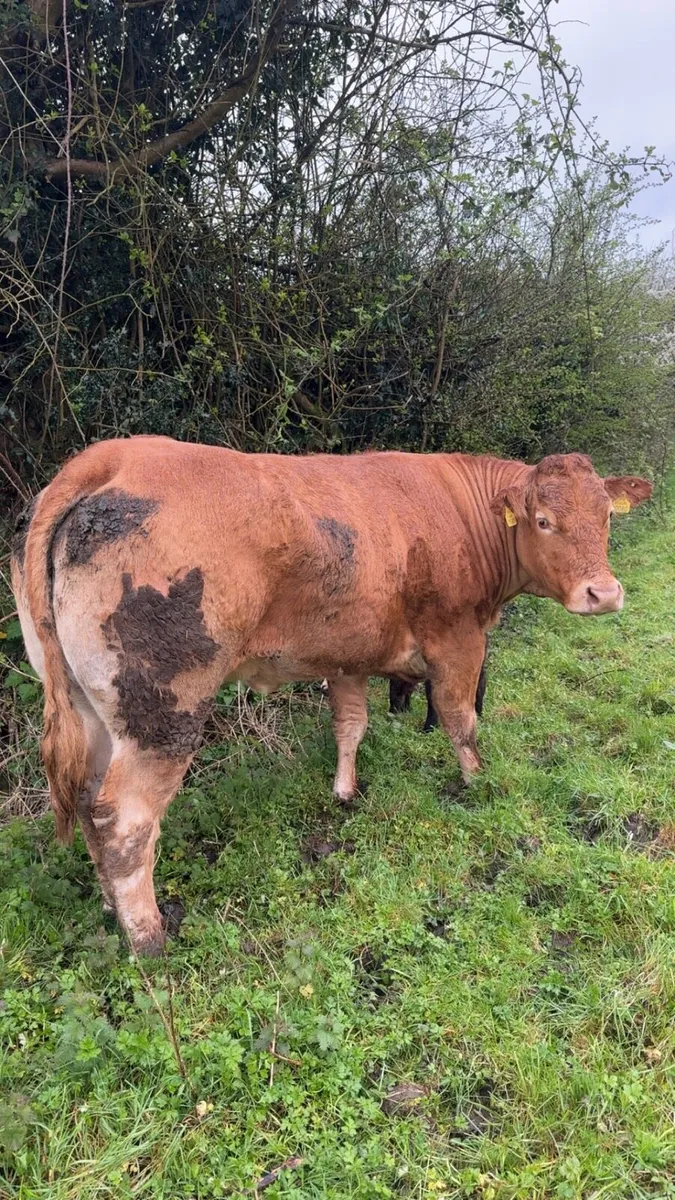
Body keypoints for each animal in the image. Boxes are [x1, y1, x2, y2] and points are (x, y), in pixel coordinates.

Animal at [11, 436, 651, 955]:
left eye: (605, 516)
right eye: (543, 520)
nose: (604, 593)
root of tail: (111, 458)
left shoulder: (348, 654)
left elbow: (351, 724)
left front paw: (345, 790)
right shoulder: (457, 639)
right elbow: (459, 718)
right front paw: (476, 782)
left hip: (89, 705)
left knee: (89, 803)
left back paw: (109, 907)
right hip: (164, 711)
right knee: (126, 819)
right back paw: (147, 938)